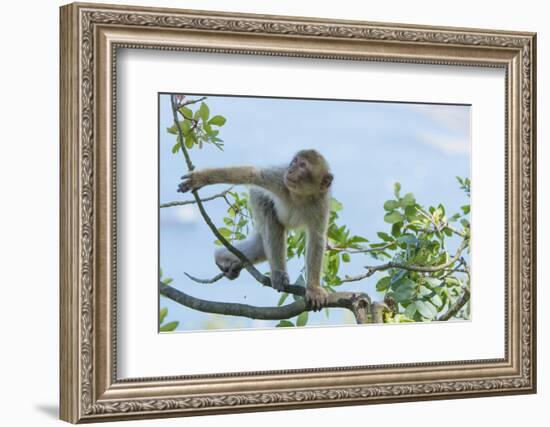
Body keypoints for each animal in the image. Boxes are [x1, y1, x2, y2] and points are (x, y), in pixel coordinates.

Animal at [179, 150, 334, 310]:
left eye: (302, 165)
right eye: (294, 161)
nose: (290, 170)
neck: (300, 196)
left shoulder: (321, 203)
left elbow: (317, 238)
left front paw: (314, 289)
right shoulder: (280, 180)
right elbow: (252, 173)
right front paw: (200, 178)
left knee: (260, 248)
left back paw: (223, 258)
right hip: (257, 198)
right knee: (270, 218)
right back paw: (278, 274)